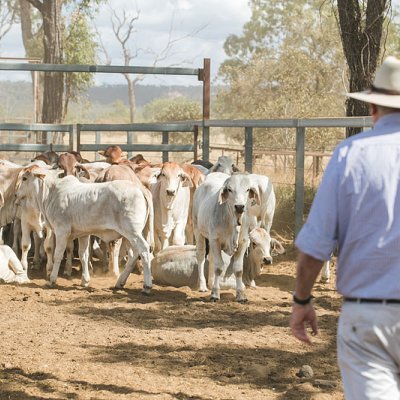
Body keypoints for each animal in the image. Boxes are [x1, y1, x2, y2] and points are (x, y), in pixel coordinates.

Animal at [193, 172, 260, 304]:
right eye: (229, 189)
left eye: (247, 189)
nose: (239, 206)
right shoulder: (215, 240)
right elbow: (219, 267)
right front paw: (215, 294)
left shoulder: (243, 242)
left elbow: (238, 269)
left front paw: (241, 295)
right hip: (198, 231)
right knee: (201, 256)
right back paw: (202, 286)